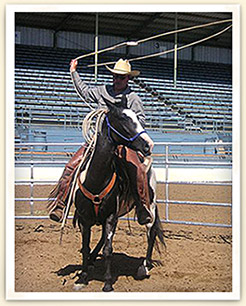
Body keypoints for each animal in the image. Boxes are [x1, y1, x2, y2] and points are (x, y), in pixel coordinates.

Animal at [73, 100, 165, 292]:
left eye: (137, 117)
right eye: (122, 118)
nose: (149, 144)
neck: (96, 179)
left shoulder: (109, 217)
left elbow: (108, 250)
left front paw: (107, 283)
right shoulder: (85, 219)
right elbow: (85, 247)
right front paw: (82, 278)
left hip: (150, 206)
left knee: (151, 232)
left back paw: (144, 266)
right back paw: (92, 260)